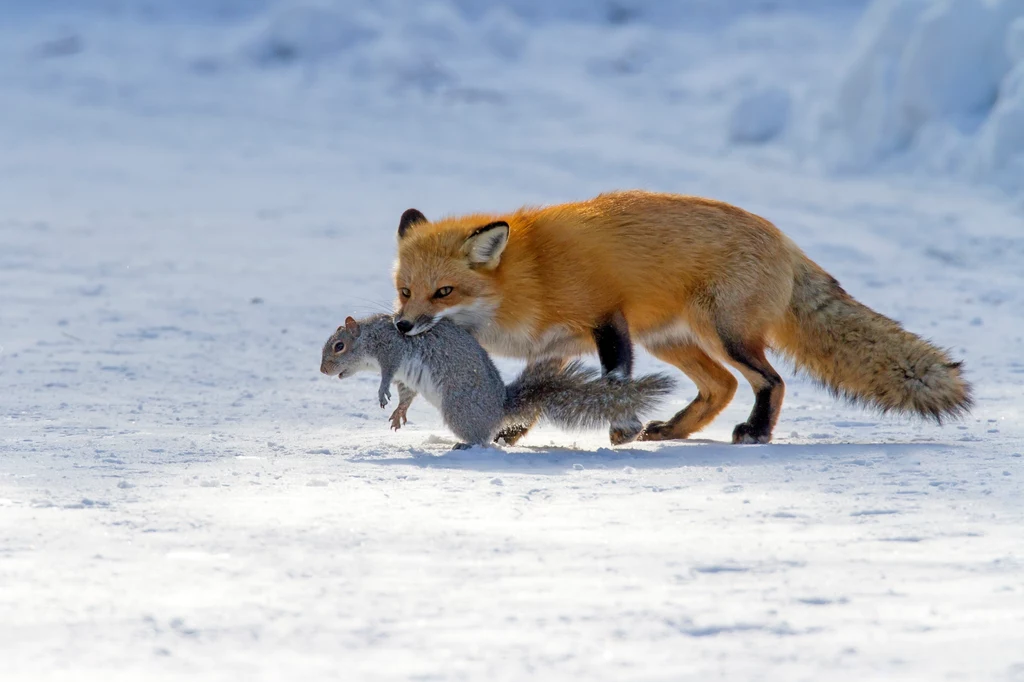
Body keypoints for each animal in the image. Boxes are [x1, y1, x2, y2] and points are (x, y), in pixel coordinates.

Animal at [315, 313, 675, 446]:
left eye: (339, 346)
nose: (322, 371)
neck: (369, 337)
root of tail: (500, 408)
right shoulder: (406, 377)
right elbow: (406, 394)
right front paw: (398, 413)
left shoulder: (392, 351)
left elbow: (389, 375)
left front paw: (381, 392)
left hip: (458, 409)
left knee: (482, 439)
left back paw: (464, 445)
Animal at [387, 188, 970, 444]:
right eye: (405, 292)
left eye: (443, 292)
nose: (402, 326)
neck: (531, 277)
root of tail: (785, 240)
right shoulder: (555, 346)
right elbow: (536, 392)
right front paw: (511, 434)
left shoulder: (606, 317)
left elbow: (615, 379)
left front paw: (620, 428)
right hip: (673, 342)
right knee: (721, 387)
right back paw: (671, 429)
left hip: (725, 335)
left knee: (770, 381)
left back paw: (755, 432)